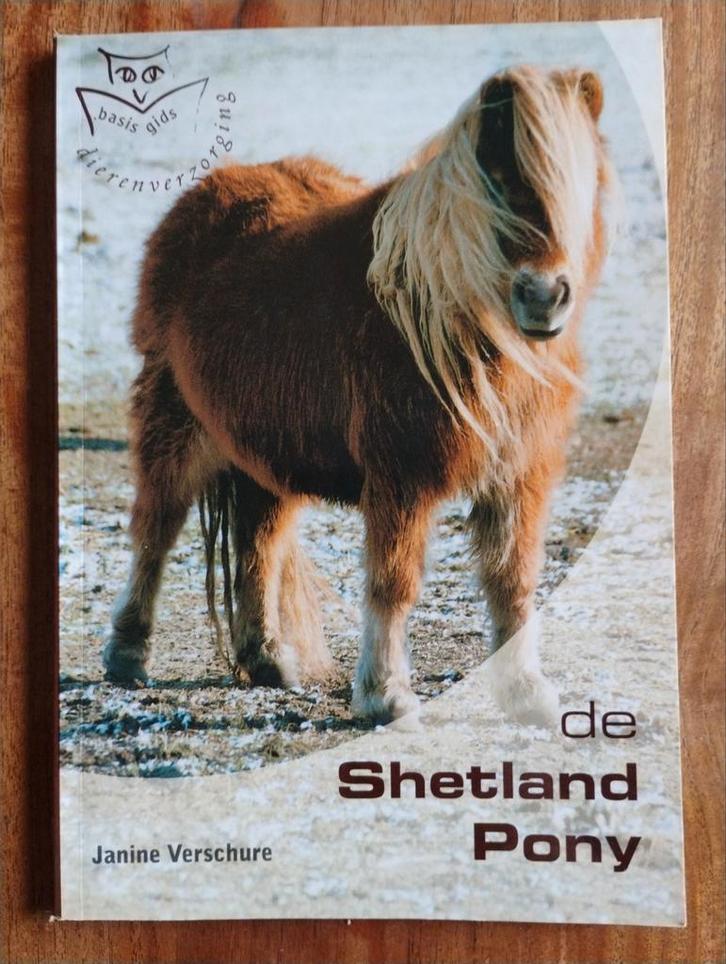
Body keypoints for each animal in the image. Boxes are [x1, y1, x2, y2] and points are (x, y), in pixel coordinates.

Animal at [104, 65, 613, 724]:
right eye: (498, 183)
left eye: (583, 181)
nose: (544, 296)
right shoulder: (402, 475)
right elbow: (394, 582)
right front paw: (385, 695)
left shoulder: (520, 474)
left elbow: (513, 580)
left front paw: (526, 692)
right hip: (172, 422)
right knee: (156, 531)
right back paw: (127, 654)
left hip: (263, 452)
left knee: (258, 544)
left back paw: (267, 660)